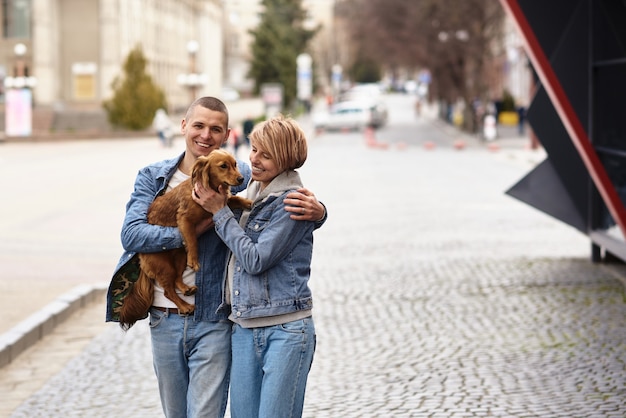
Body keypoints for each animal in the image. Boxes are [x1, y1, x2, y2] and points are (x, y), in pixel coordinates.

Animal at [119, 150, 251, 330]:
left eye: (235, 164)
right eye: (223, 166)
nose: (241, 179)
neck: (209, 187)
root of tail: (141, 257)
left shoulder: (220, 204)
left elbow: (233, 199)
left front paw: (247, 202)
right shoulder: (185, 219)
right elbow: (193, 241)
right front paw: (195, 261)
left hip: (180, 257)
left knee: (177, 280)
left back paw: (186, 289)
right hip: (165, 267)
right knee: (168, 291)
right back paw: (185, 306)